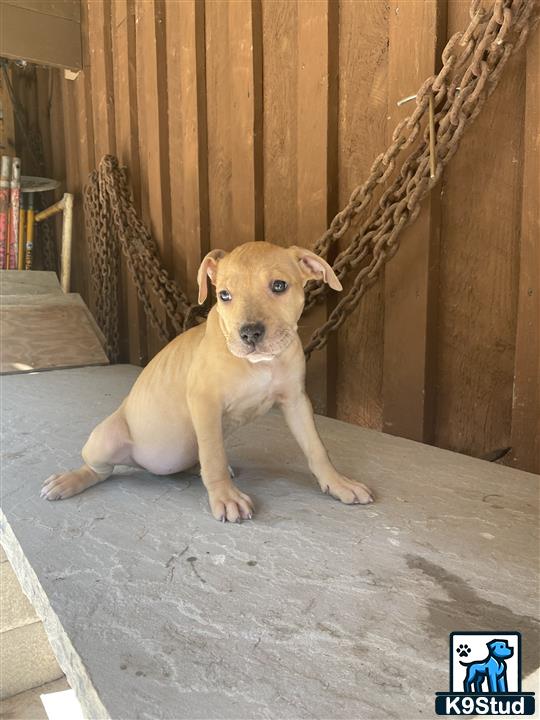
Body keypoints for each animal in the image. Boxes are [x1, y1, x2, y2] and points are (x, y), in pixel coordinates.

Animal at [42, 243, 374, 524]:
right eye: (224, 295)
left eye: (279, 286)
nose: (250, 333)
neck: (260, 364)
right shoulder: (204, 402)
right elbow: (213, 455)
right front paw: (225, 497)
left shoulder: (296, 401)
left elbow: (316, 448)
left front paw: (337, 482)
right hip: (106, 439)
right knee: (100, 470)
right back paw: (70, 480)